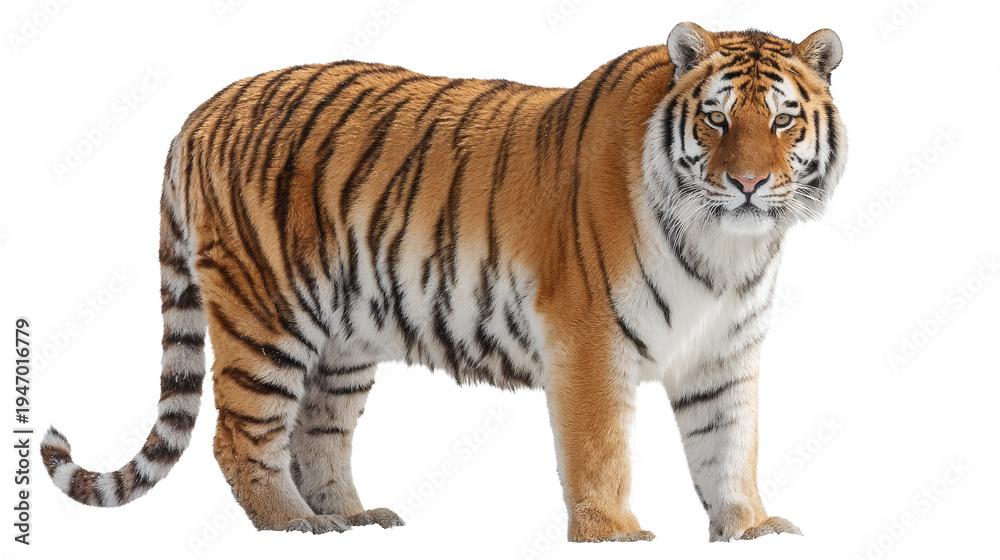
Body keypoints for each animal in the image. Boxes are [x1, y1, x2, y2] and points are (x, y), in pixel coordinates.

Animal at [40, 22, 846, 543]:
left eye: (782, 121)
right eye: (715, 120)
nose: (747, 184)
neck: (727, 248)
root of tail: (200, 112)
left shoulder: (724, 354)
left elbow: (730, 446)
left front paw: (752, 528)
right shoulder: (589, 342)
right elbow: (601, 450)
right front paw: (613, 534)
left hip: (342, 339)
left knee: (319, 433)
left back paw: (350, 518)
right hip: (265, 312)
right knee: (240, 435)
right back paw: (293, 525)